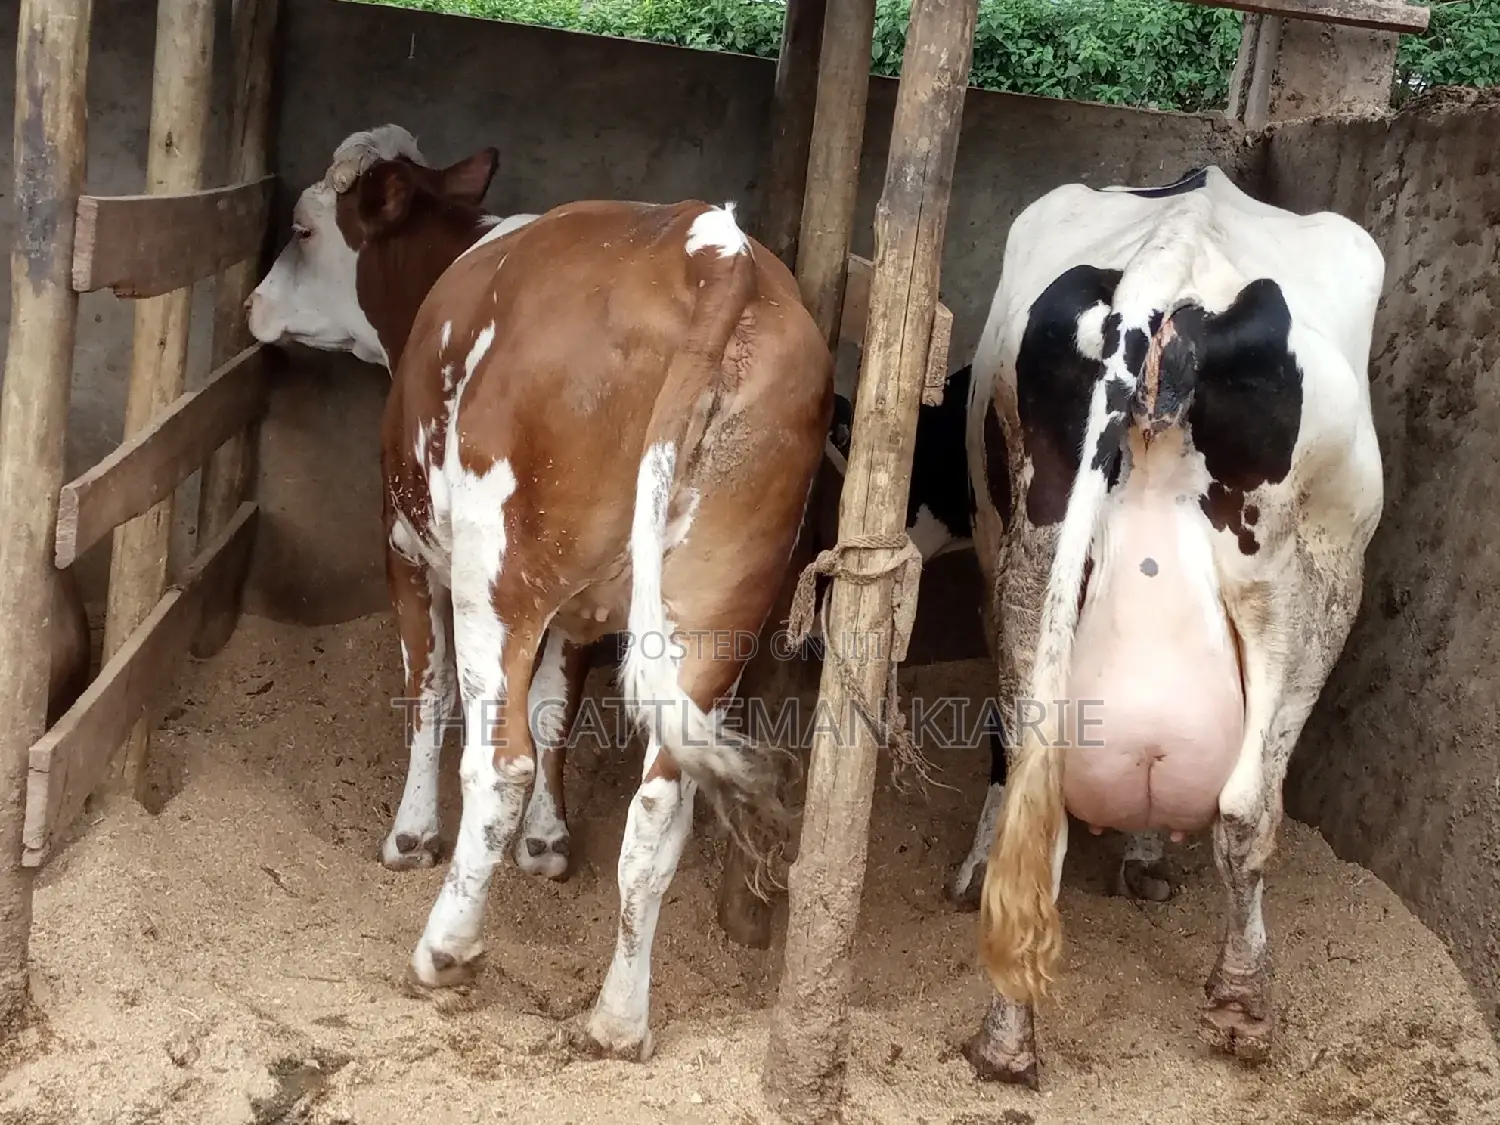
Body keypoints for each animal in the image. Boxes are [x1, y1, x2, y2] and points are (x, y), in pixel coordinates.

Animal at [246, 125, 833, 1058]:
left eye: (303, 229)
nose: (253, 305)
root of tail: (713, 249)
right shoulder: (581, 612)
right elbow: (559, 709)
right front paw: (550, 844)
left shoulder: (404, 548)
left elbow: (428, 694)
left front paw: (410, 835)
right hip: (714, 609)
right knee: (659, 804)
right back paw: (620, 1020)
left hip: (499, 576)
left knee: (500, 758)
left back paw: (445, 948)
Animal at [956, 165, 1385, 1087]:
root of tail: (1167, 271)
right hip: (1306, 578)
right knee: (1248, 808)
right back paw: (1242, 1005)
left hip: (1028, 552)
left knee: (1033, 795)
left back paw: (1006, 1039)